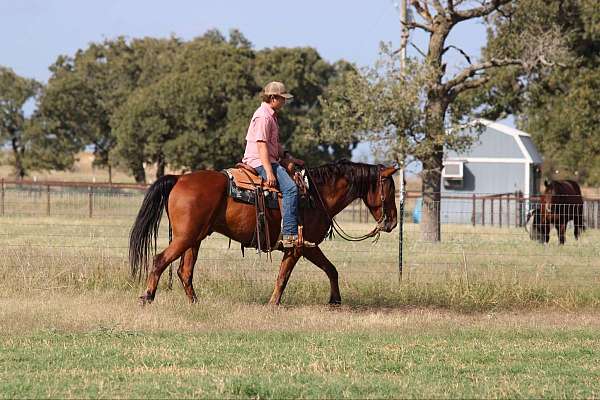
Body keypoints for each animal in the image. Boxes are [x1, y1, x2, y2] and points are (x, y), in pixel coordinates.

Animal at [129, 161, 398, 304]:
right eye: (391, 190)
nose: (393, 222)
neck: (316, 195)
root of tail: (179, 179)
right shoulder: (298, 247)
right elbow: (283, 276)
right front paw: (273, 303)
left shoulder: (309, 247)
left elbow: (331, 269)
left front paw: (335, 300)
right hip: (185, 237)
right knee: (160, 260)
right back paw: (148, 297)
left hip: (194, 239)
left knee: (184, 272)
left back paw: (195, 303)